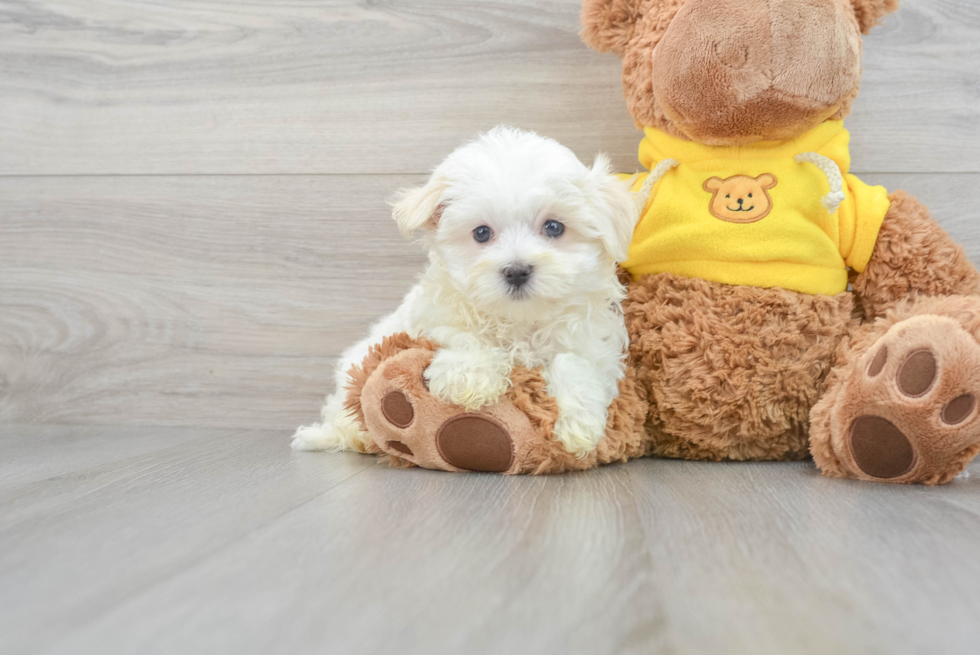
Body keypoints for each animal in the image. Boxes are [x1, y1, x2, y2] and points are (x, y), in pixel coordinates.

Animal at [290, 127, 644, 456]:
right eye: (481, 233)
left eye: (554, 227)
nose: (517, 270)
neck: (518, 321)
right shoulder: (433, 319)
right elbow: (464, 337)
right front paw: (467, 376)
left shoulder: (594, 342)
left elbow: (574, 362)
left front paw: (579, 425)